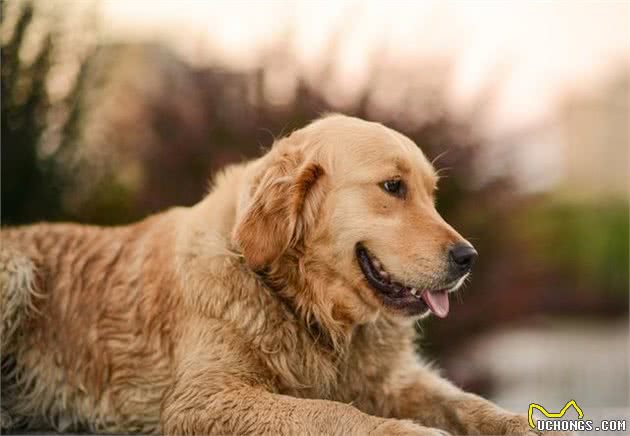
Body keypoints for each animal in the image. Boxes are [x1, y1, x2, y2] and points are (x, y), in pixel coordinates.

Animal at [0, 114, 568, 434]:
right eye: (392, 187)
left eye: (432, 193)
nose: (468, 257)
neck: (304, 303)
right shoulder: (203, 398)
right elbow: (331, 413)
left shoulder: (395, 380)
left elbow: (469, 404)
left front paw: (522, 426)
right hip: (17, 270)